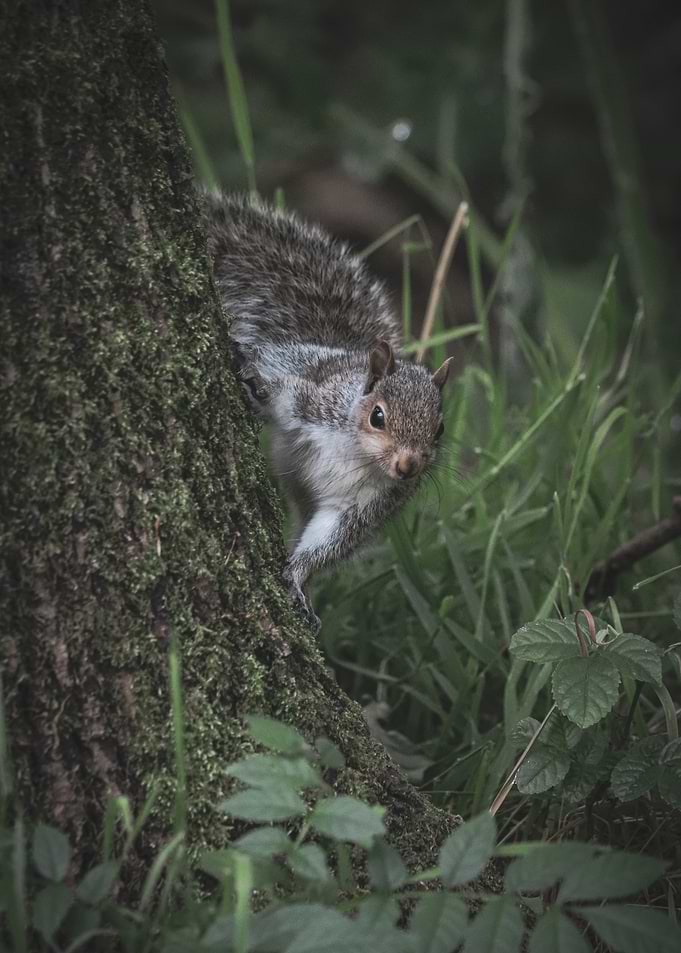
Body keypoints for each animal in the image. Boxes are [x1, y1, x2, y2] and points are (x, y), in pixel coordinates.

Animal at [205, 192, 452, 628]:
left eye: (438, 430)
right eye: (377, 416)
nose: (408, 467)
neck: (357, 452)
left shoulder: (366, 504)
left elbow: (330, 540)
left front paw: (298, 579)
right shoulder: (319, 401)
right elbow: (286, 395)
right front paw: (259, 389)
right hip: (294, 359)